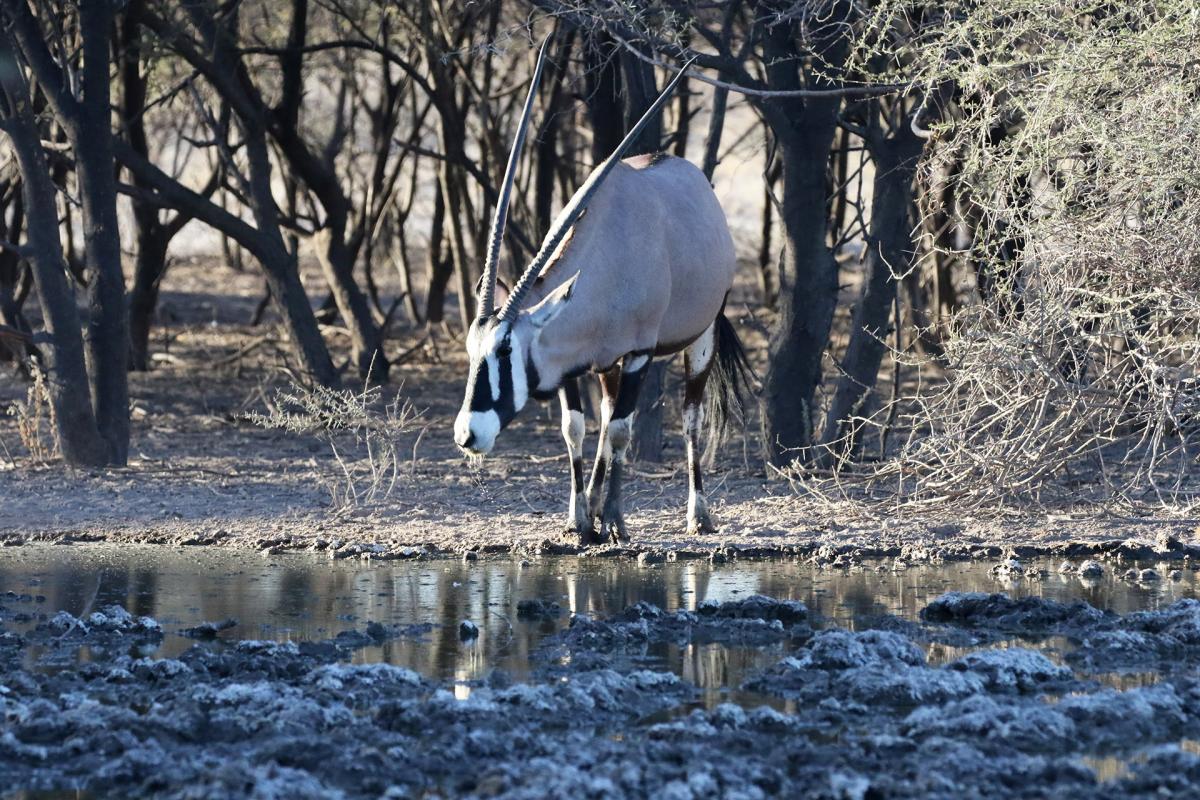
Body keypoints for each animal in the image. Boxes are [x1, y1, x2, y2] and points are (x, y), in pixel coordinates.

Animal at [451, 43, 748, 544]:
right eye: (472, 350)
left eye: (506, 350)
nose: (467, 436)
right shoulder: (572, 362)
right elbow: (577, 427)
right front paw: (579, 520)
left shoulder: (640, 354)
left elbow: (624, 430)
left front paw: (613, 520)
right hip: (609, 366)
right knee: (607, 414)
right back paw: (594, 499)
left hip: (701, 335)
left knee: (689, 415)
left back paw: (699, 513)